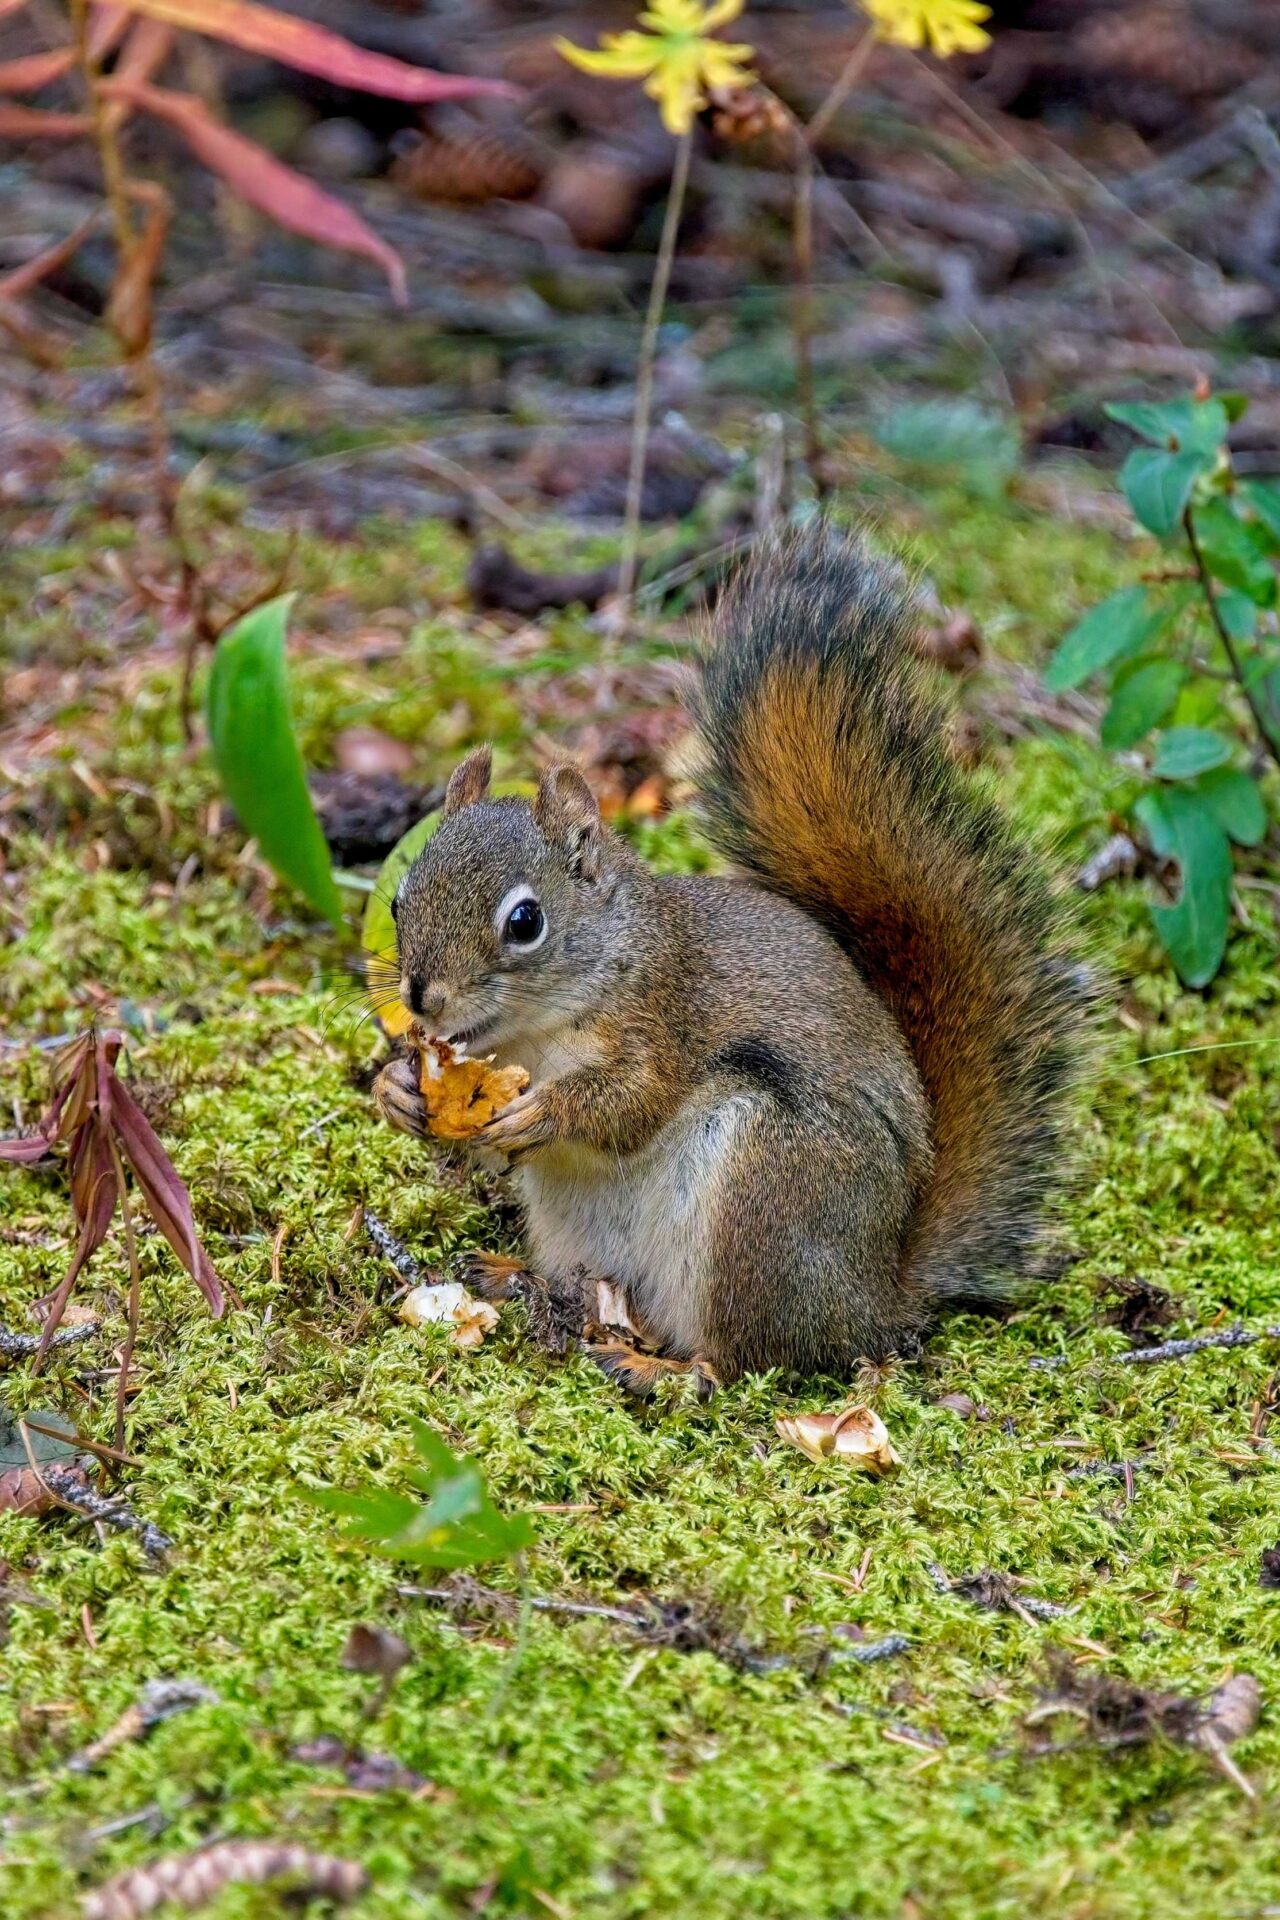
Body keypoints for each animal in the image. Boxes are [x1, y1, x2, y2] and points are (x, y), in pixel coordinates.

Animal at [375, 527, 1091, 1394]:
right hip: (582, 1226)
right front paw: (397, 1089)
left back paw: (661, 1369)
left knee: (747, 1358)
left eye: (525, 921)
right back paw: (517, 1280)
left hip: (764, 1194)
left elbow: (633, 1101)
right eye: (398, 899)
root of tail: (875, 1299)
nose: (422, 997)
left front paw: (545, 1111)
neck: (534, 1033)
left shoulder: (665, 1015)